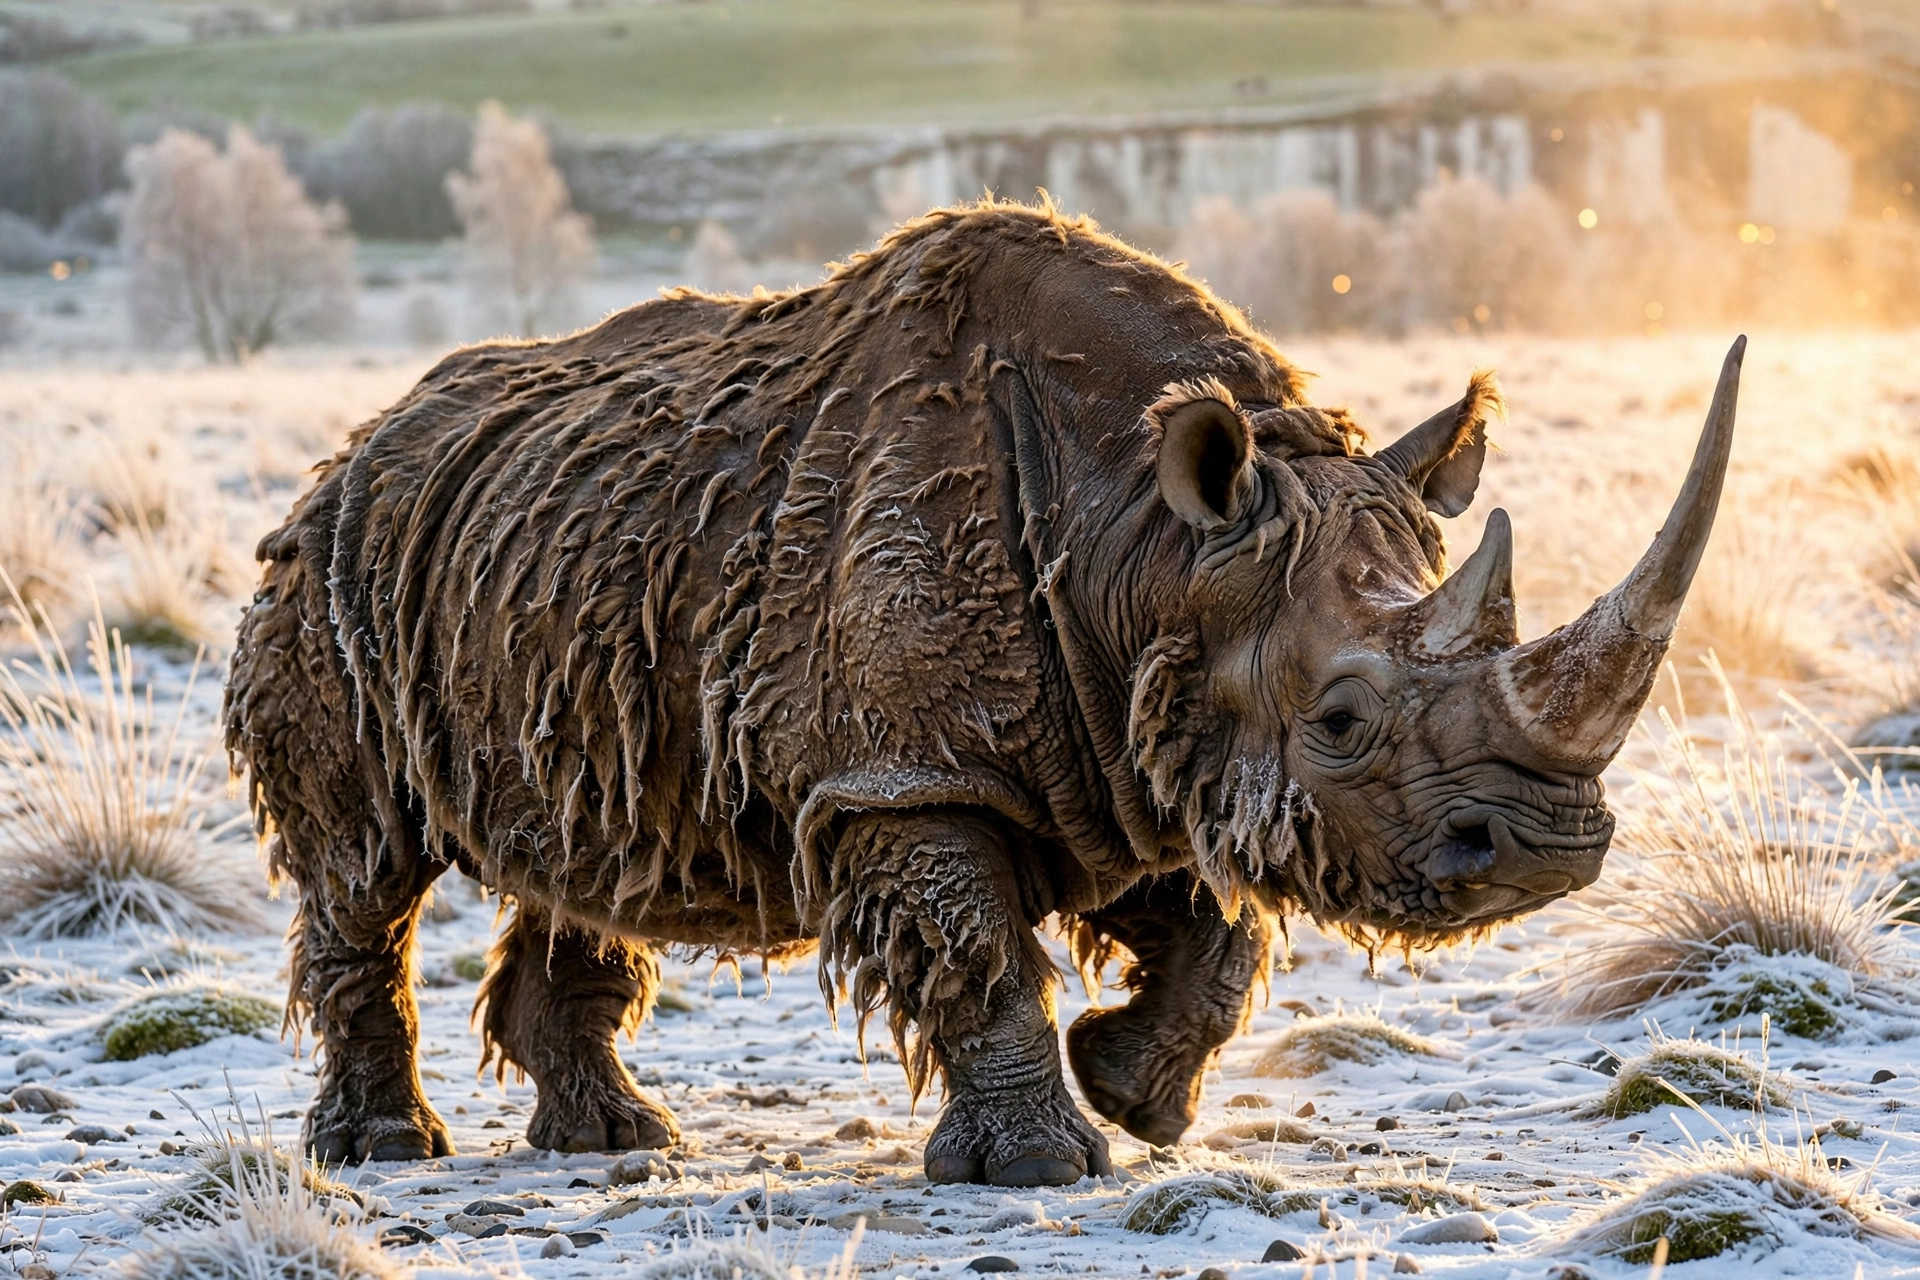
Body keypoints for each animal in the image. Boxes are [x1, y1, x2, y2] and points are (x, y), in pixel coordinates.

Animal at [226, 202, 1742, 1187]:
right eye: (1344, 721)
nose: (1547, 850)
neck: (1151, 540)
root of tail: (357, 445)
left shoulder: (1117, 743)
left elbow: (1215, 936)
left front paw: (1136, 1091)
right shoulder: (914, 773)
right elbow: (978, 952)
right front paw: (1040, 1167)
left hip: (555, 562)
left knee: (587, 841)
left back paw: (617, 1140)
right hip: (330, 573)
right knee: (366, 870)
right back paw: (387, 1150)